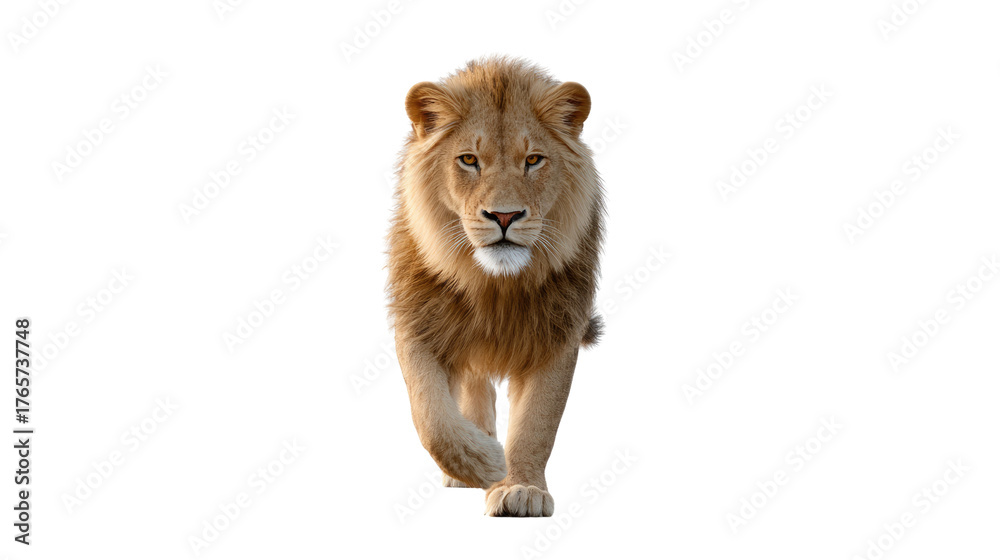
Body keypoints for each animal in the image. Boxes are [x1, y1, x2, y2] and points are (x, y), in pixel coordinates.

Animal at [386, 57, 604, 517]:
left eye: (534, 159)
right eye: (469, 159)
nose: (504, 216)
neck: (494, 286)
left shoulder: (558, 333)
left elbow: (538, 423)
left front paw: (521, 487)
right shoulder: (416, 320)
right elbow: (430, 414)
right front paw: (485, 462)